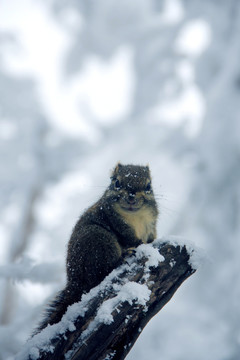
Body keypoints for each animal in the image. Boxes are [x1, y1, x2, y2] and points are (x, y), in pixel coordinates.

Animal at [33, 163, 158, 334]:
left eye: (148, 186)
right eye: (116, 182)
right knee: (100, 271)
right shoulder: (114, 220)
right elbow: (129, 236)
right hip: (100, 240)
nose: (131, 197)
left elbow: (152, 236)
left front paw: (152, 241)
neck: (135, 216)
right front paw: (139, 243)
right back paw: (123, 256)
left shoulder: (151, 224)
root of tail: (75, 281)